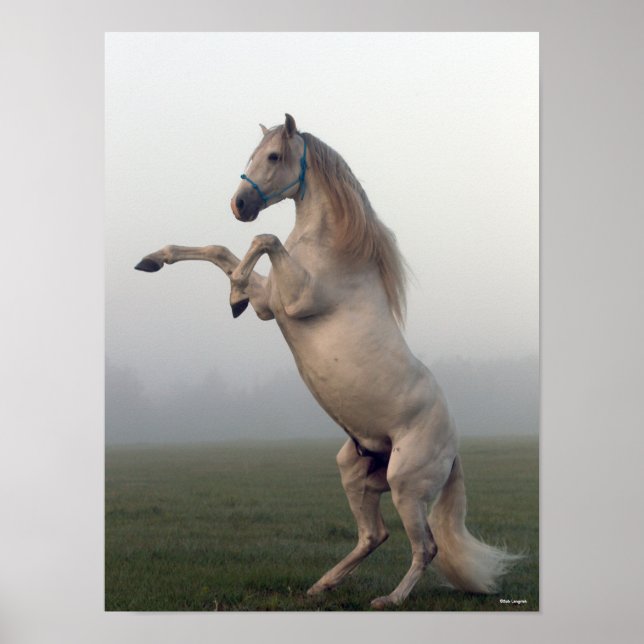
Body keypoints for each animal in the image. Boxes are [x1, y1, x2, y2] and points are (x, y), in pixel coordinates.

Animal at [135, 113, 519, 609]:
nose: (239, 204)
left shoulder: (290, 301)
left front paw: (234, 293)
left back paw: (389, 599)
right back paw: (321, 585)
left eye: (274, 156)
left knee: (426, 546)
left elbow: (262, 239)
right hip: (356, 472)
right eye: (253, 155)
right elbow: (223, 251)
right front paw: (155, 261)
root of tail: (453, 451)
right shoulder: (270, 303)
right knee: (374, 535)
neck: (333, 253)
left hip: (406, 485)